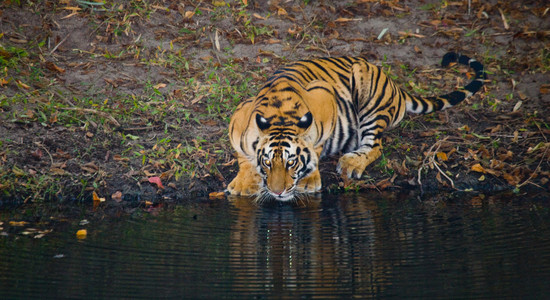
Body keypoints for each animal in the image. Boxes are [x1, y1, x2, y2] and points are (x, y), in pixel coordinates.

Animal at [227, 51, 488, 202]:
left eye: (291, 163)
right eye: (267, 163)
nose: (277, 192)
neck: (280, 117)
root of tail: (394, 84)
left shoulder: (325, 101)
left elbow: (316, 147)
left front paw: (308, 181)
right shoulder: (238, 118)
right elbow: (243, 157)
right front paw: (243, 184)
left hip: (369, 99)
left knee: (375, 146)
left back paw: (351, 163)